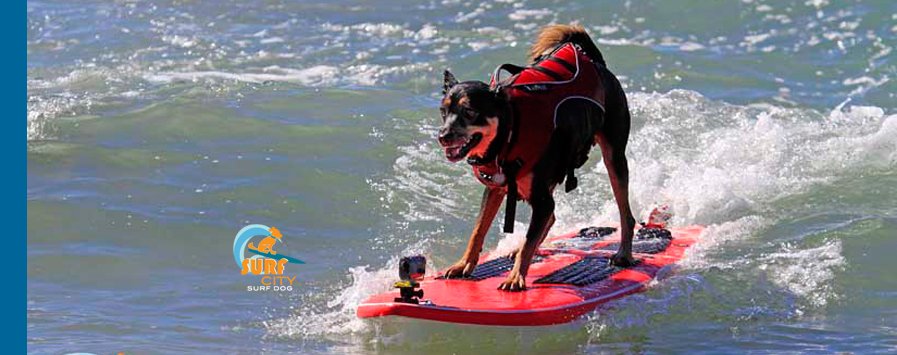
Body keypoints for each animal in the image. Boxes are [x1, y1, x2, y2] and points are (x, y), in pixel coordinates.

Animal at [436, 25, 632, 292]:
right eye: (443, 111)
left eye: (469, 112)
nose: (442, 136)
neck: (509, 132)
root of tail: (593, 61)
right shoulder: (495, 189)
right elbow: (478, 230)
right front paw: (463, 264)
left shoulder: (540, 199)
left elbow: (530, 238)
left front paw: (515, 277)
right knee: (551, 217)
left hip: (614, 158)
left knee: (626, 214)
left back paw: (624, 254)